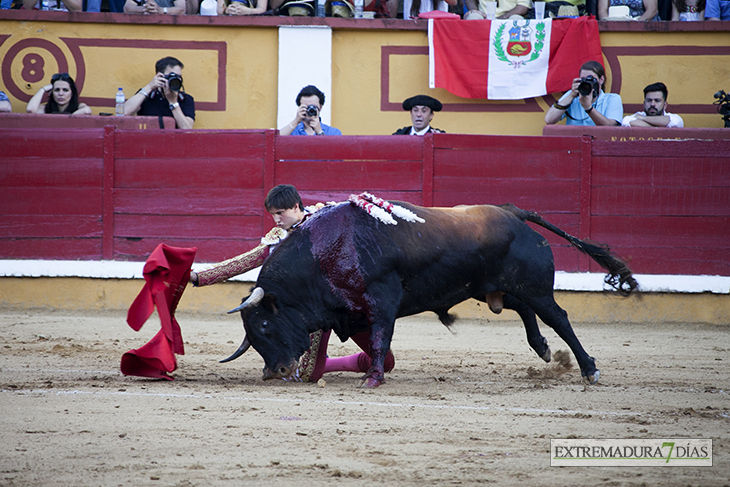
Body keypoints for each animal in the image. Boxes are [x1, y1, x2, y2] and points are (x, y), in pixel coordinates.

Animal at [225, 202, 636, 388]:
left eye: (265, 324)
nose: (276, 371)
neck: (323, 253)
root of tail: (513, 213)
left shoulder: (382, 299)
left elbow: (381, 337)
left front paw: (373, 378)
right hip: (493, 288)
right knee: (522, 309)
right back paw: (543, 348)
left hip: (534, 286)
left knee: (559, 317)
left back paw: (589, 368)